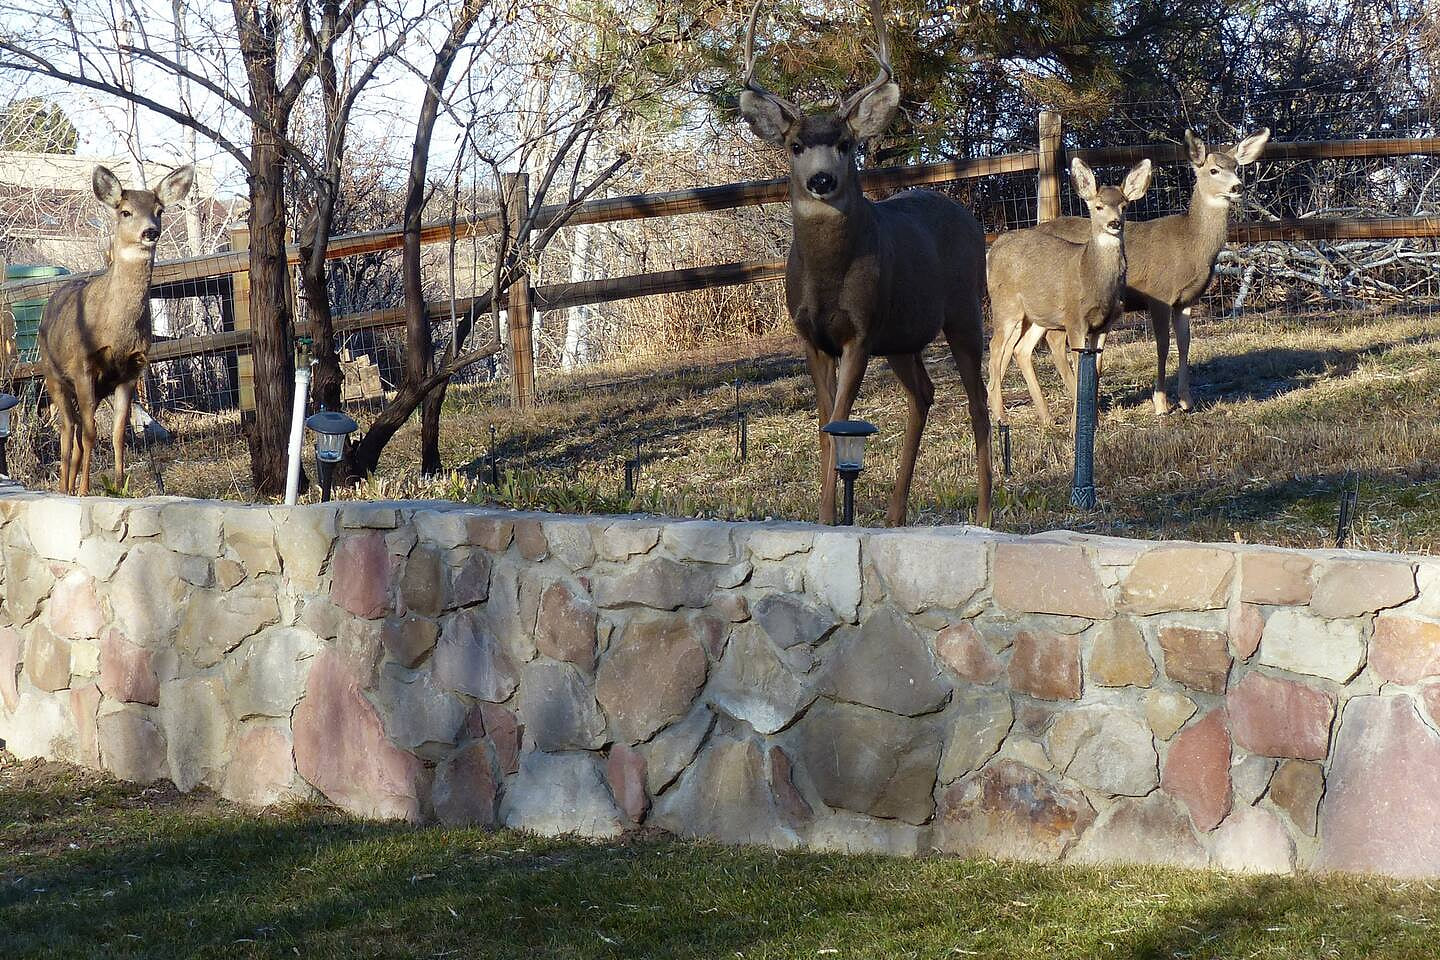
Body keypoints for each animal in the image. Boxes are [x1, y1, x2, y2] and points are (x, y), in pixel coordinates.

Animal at [38, 163, 194, 495]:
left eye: (159, 210)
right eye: (125, 211)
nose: (150, 231)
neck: (115, 332)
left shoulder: (131, 370)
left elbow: (118, 433)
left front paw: (120, 488)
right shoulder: (84, 365)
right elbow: (90, 433)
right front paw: (85, 490)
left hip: (96, 388)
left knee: (77, 430)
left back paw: (71, 486)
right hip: (53, 374)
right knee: (68, 430)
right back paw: (65, 488)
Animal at [737, 0, 992, 527]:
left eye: (845, 143)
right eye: (795, 145)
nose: (821, 180)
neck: (827, 277)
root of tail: (965, 213)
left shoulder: (860, 330)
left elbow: (839, 420)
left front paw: (830, 519)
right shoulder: (812, 337)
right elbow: (823, 425)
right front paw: (825, 519)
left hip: (963, 311)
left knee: (978, 401)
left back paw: (983, 513)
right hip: (902, 336)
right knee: (925, 393)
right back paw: (895, 515)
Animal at [987, 157, 1153, 431]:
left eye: (1124, 205)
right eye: (1098, 206)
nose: (1114, 223)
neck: (1090, 276)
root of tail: (992, 249)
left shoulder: (1105, 323)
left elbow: (1095, 370)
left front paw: (1093, 420)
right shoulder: (1075, 318)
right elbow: (1079, 369)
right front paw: (1079, 424)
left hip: (1038, 315)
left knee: (1021, 349)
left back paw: (1046, 418)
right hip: (1006, 306)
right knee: (995, 347)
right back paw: (1002, 417)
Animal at [1030, 128, 1271, 414]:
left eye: (1236, 167)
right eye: (1213, 170)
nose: (1237, 187)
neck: (1191, 243)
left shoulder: (1185, 300)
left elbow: (1185, 343)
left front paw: (1186, 400)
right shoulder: (1159, 294)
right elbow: (1163, 345)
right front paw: (1161, 403)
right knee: (1053, 341)